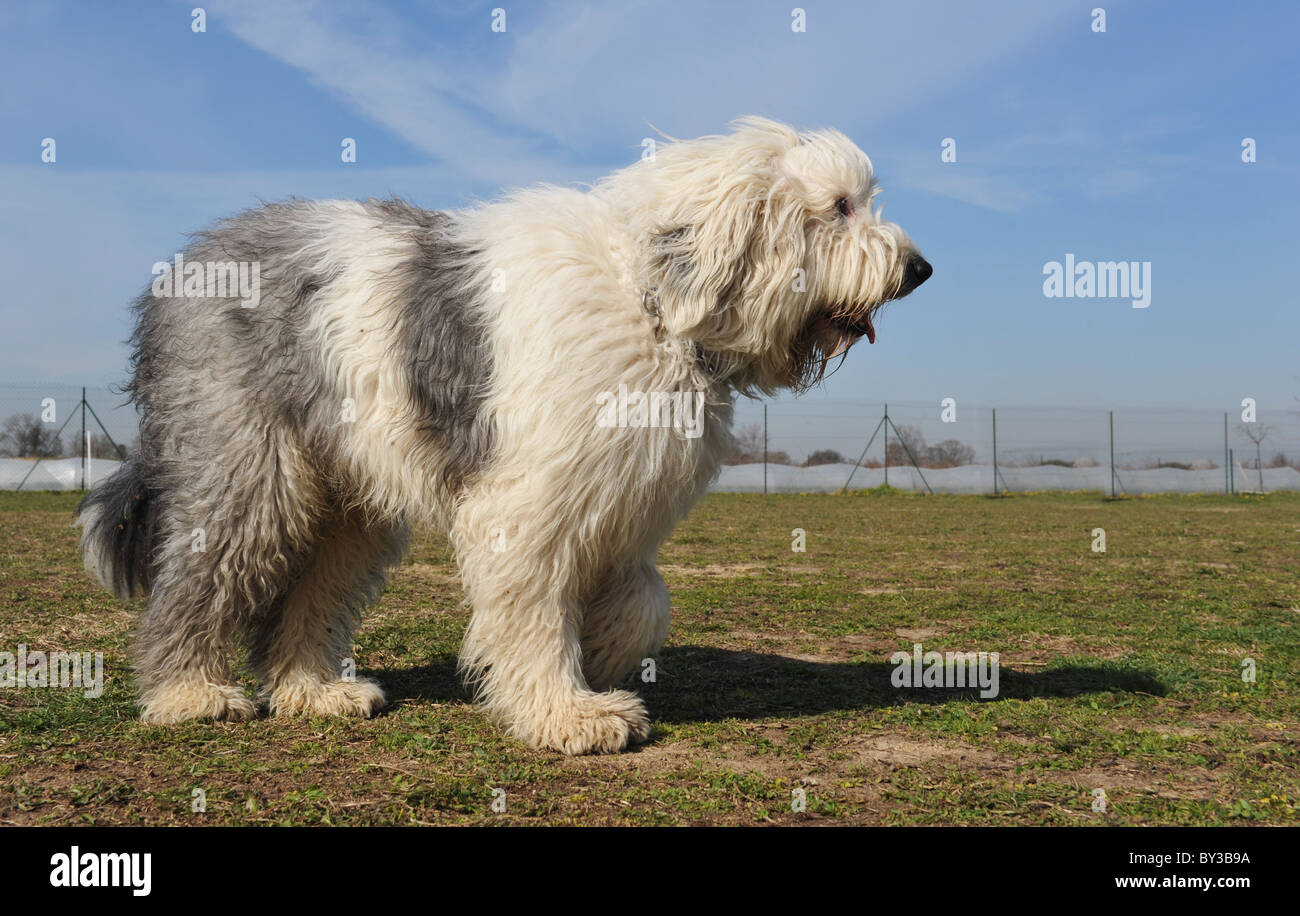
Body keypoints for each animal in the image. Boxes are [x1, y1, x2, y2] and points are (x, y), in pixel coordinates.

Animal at [78, 118, 925, 753]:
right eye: (839, 207)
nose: (920, 270)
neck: (648, 296)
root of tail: (179, 272)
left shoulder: (622, 496)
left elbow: (645, 600)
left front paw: (606, 651)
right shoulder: (530, 501)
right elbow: (533, 607)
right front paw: (568, 712)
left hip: (348, 498)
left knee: (313, 588)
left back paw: (314, 692)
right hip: (249, 467)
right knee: (200, 574)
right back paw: (188, 692)